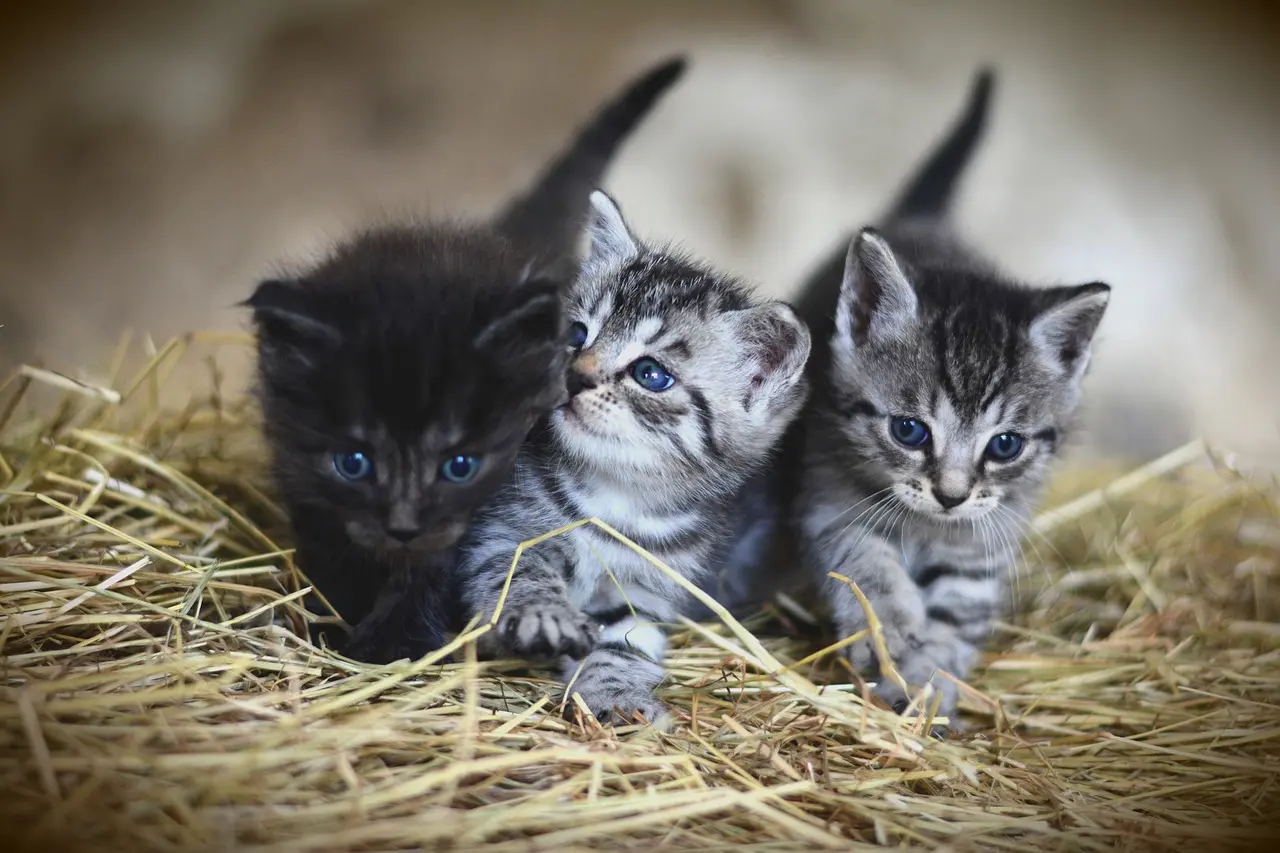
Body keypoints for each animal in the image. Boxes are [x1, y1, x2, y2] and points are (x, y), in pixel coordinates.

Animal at [248, 56, 691, 660]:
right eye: (353, 462)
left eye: (460, 466)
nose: (404, 527)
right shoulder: (302, 478)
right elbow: (332, 550)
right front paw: (336, 619)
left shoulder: (488, 509)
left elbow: (436, 568)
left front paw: (396, 642)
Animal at [453, 189, 808, 722]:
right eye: (576, 335)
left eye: (650, 374)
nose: (575, 376)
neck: (617, 495)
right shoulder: (501, 532)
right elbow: (518, 572)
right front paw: (543, 613)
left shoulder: (648, 589)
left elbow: (624, 643)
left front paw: (618, 697)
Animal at [788, 68, 1111, 717]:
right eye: (909, 430)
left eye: (1005, 445)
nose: (951, 495)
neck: (926, 527)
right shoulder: (827, 493)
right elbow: (864, 562)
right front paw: (891, 631)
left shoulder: (985, 539)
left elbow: (957, 614)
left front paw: (929, 683)